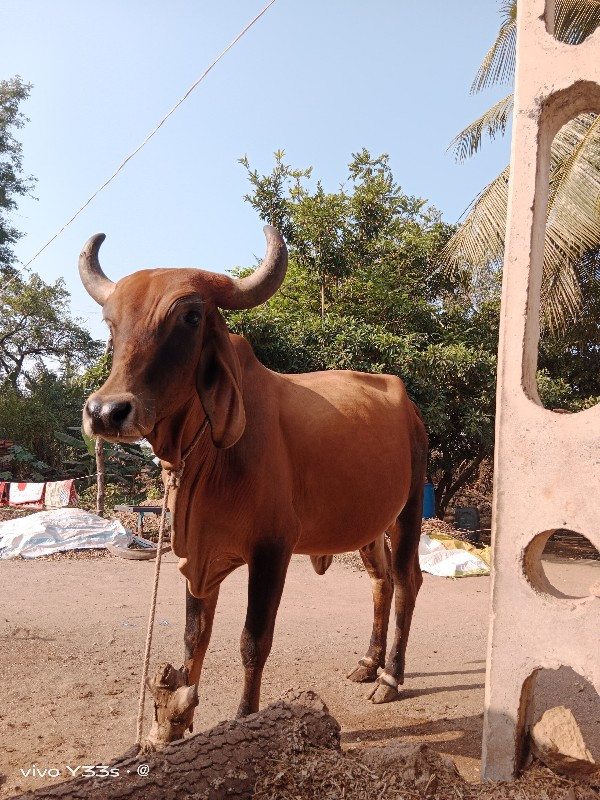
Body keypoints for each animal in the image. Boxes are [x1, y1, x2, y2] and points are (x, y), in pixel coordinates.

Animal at [78, 225, 426, 736]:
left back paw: (391, 677)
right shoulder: (196, 551)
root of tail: (408, 404)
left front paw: (243, 718)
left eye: (191, 316)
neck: (206, 456)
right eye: (110, 322)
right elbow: (194, 636)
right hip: (368, 522)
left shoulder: (272, 547)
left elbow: (253, 640)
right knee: (380, 580)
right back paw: (368, 662)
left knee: (405, 581)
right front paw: (179, 721)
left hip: (409, 510)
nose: (106, 411)